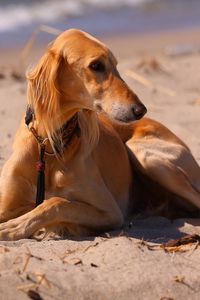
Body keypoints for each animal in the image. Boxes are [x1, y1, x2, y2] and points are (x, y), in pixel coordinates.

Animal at [0, 29, 199, 240]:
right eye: (96, 65)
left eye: (116, 65)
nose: (141, 110)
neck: (50, 146)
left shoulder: (111, 211)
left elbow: (56, 203)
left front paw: (16, 226)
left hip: (145, 155)